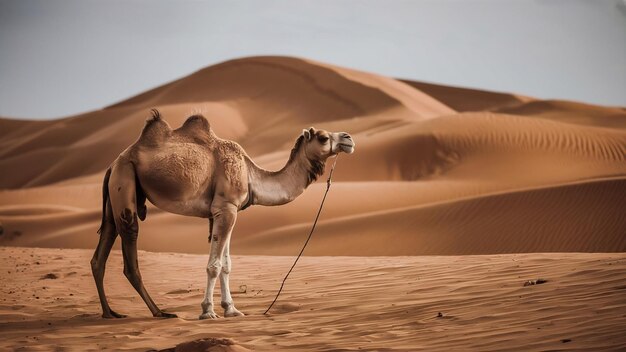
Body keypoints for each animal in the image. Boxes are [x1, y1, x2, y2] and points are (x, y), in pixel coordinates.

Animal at [89, 109, 354, 320]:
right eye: (323, 137)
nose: (348, 138)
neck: (250, 173)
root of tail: (113, 164)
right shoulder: (225, 208)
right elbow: (214, 266)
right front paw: (208, 311)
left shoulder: (229, 210)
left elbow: (227, 264)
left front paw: (231, 309)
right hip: (125, 182)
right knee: (130, 251)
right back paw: (159, 312)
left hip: (115, 195)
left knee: (101, 252)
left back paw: (110, 313)